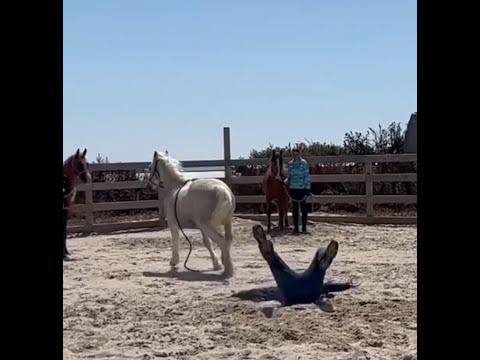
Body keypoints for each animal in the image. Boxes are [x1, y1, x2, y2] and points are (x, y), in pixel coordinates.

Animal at [147, 150, 235, 278]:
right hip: (226, 222)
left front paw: (174, 261)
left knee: (222, 240)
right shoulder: (201, 228)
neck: (174, 188)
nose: (148, 187)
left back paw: (228, 271)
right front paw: (216, 264)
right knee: (228, 240)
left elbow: (175, 240)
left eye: (150, 167)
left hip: (208, 225)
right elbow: (207, 243)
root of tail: (223, 191)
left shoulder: (173, 224)